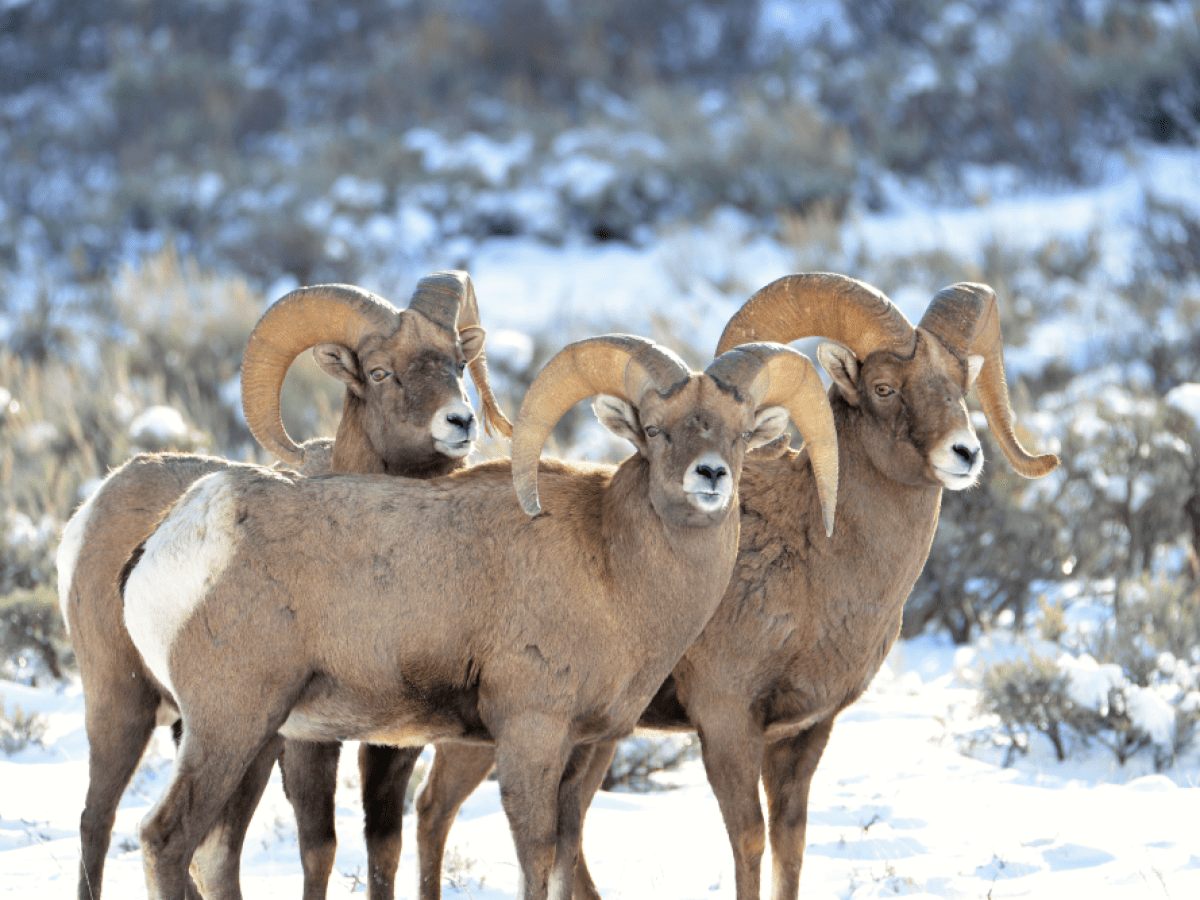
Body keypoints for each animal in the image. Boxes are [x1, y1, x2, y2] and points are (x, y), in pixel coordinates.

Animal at [56, 271, 509, 900]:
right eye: (380, 372)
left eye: (458, 363)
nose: (460, 423)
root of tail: (99, 502)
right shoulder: (307, 741)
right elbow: (319, 848)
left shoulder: (395, 740)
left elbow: (383, 847)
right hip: (130, 707)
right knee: (98, 823)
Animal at [118, 332, 840, 900]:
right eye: (657, 431)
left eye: (740, 434)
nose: (710, 476)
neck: (614, 569)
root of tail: (179, 533)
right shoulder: (529, 736)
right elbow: (536, 859)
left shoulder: (586, 748)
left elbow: (563, 859)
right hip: (231, 725)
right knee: (164, 840)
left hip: (255, 739)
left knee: (212, 853)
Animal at [410, 273, 1060, 900]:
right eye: (883, 387)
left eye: (959, 383)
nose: (964, 453)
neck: (819, 565)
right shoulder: (726, 721)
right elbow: (749, 840)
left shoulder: (805, 733)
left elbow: (790, 846)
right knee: (437, 811)